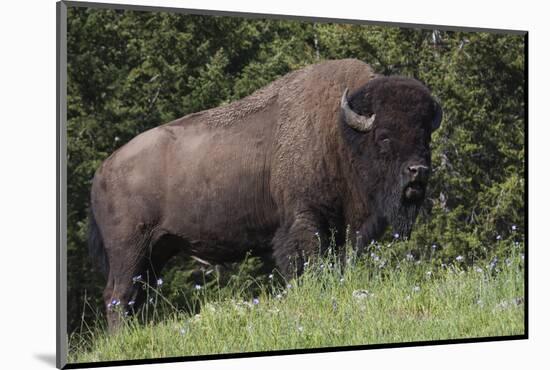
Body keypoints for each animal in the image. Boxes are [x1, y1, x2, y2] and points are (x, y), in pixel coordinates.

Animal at [90, 57, 444, 326]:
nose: (418, 171)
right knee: (118, 295)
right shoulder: (304, 219)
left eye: (425, 136)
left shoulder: (343, 229)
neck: (340, 134)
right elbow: (306, 263)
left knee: (135, 296)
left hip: (156, 251)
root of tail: (103, 170)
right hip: (129, 250)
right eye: (384, 136)